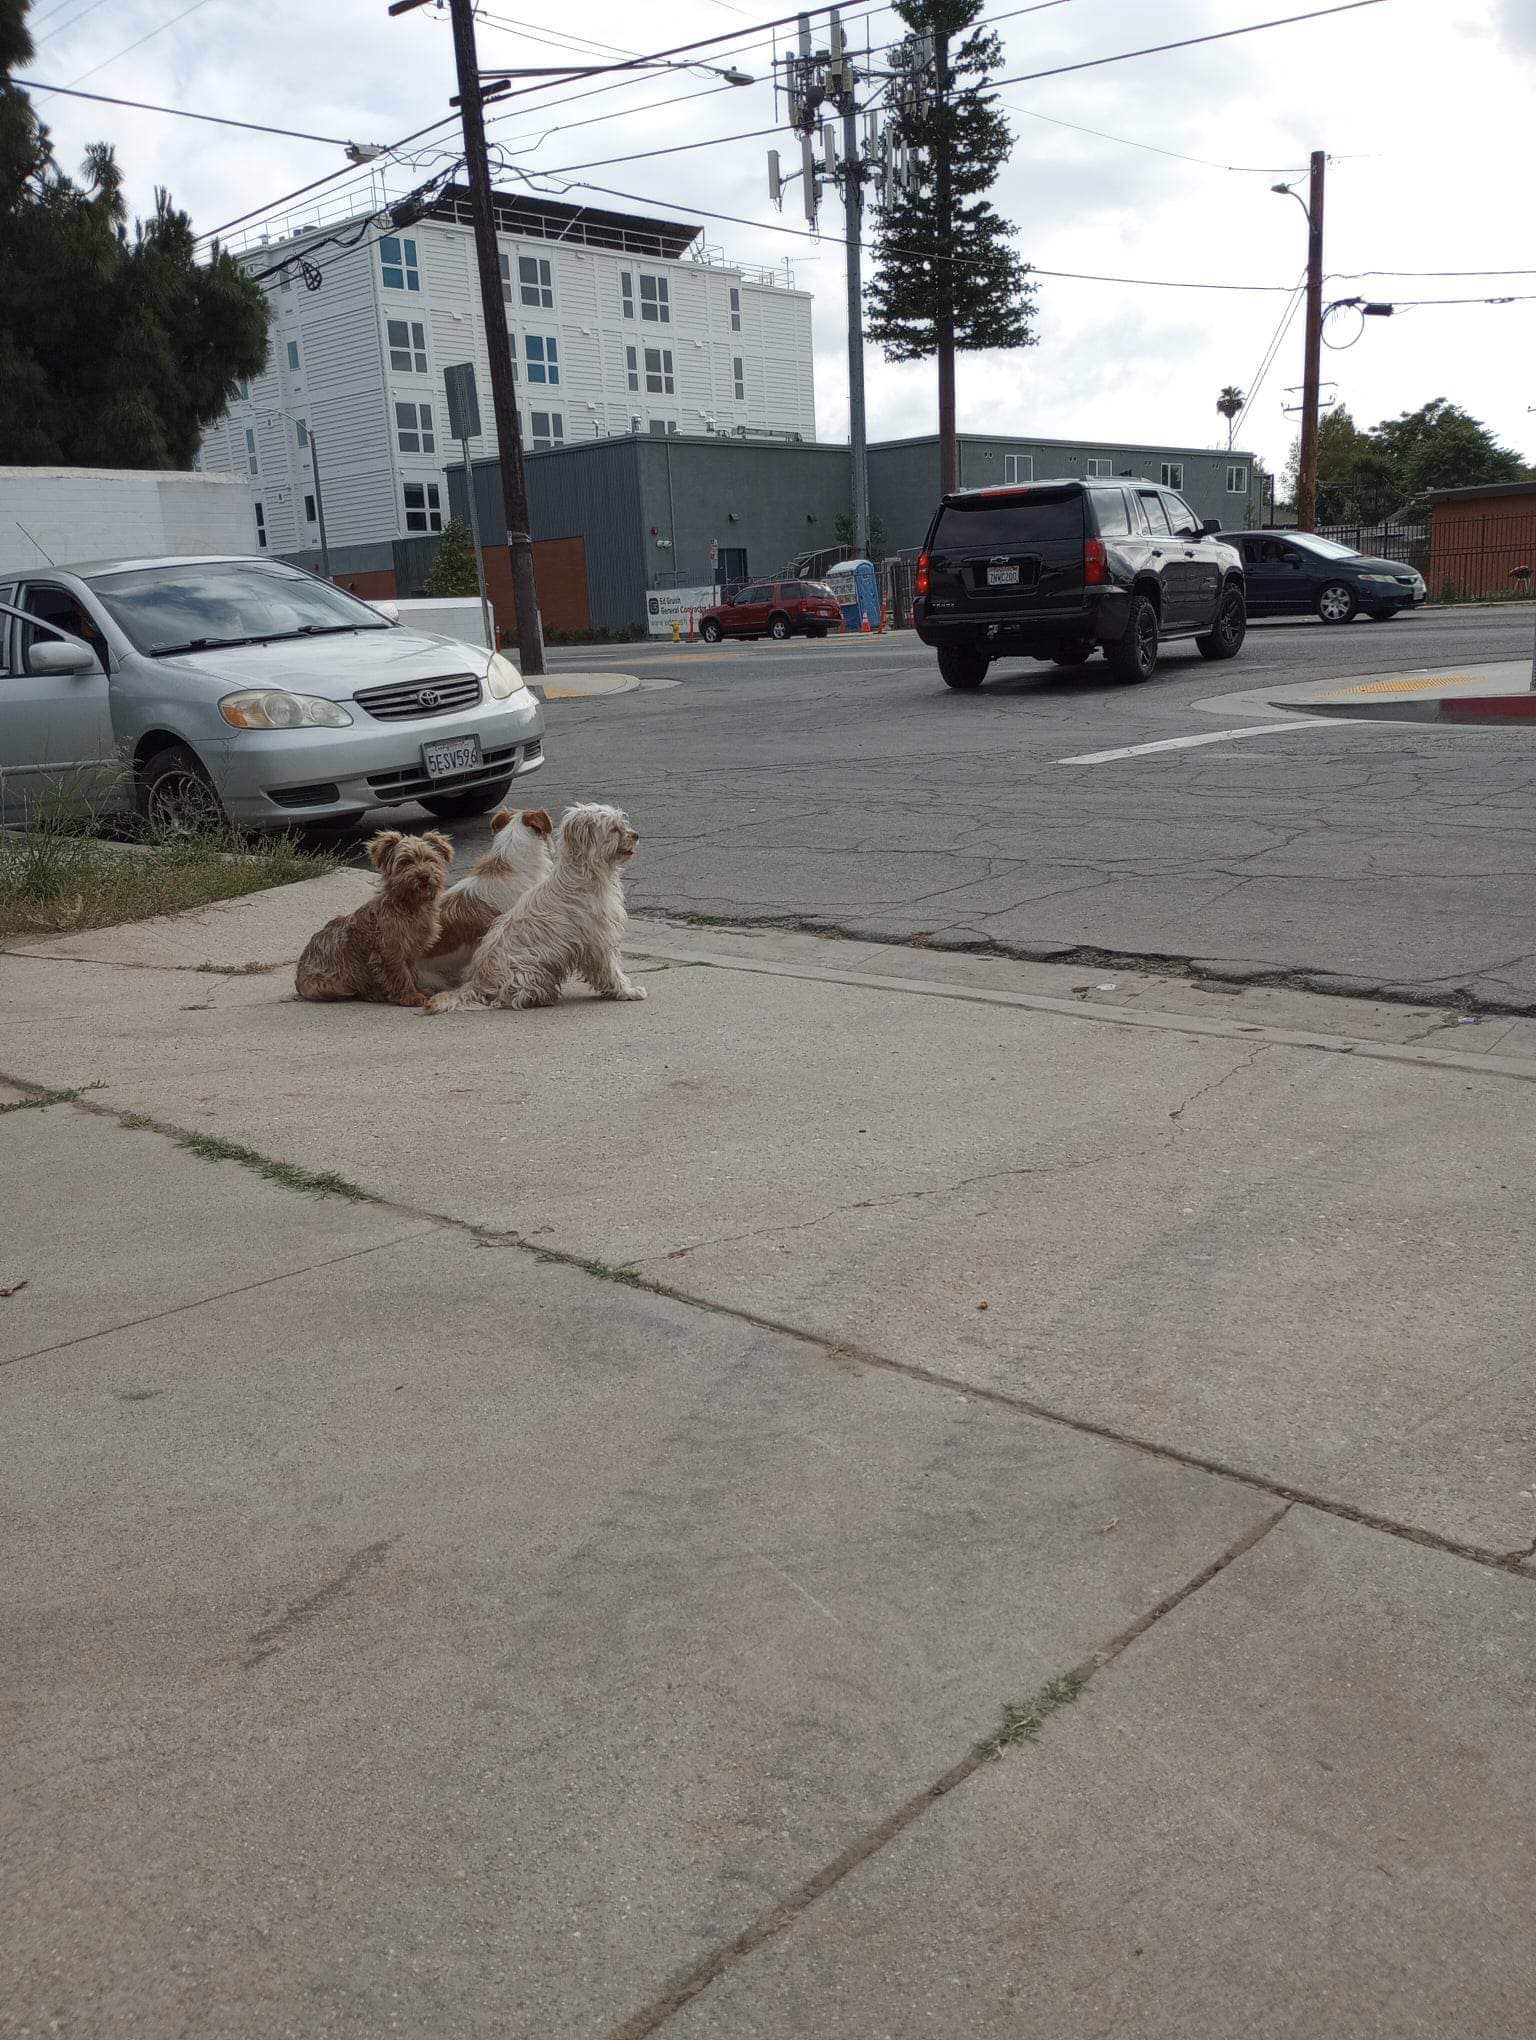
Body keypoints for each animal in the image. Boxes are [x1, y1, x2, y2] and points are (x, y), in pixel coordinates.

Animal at [293, 828, 448, 1011]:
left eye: (430, 859)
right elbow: (401, 974)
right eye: (405, 862)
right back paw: (374, 994)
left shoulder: (410, 951)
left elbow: (412, 972)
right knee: (352, 991)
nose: (424, 875)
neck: (409, 906)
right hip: (330, 983)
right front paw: (410, 996)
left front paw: (419, 990)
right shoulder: (391, 951)